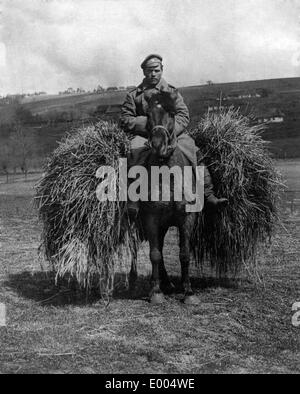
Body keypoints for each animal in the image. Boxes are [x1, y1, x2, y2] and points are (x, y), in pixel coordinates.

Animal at [127, 90, 200, 304]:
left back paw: (167, 283)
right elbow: (155, 255)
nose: (158, 144)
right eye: (148, 115)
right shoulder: (151, 218)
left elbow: (184, 254)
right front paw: (156, 292)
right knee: (146, 248)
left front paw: (188, 292)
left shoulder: (187, 218)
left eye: (173, 113)